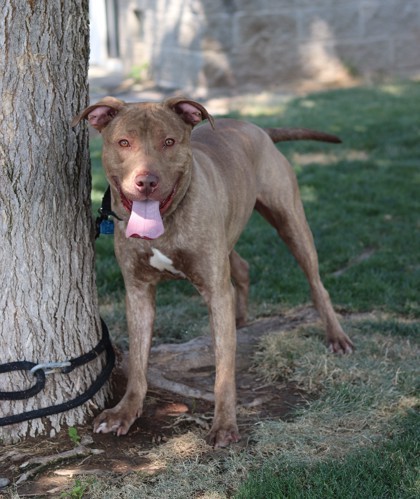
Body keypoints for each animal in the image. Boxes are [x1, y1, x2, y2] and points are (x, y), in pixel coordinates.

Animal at [73, 97, 354, 450]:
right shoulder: (138, 292)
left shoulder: (215, 292)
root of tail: (256, 127)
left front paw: (223, 424)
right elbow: (138, 362)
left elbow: (224, 369)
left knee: (316, 283)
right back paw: (241, 317)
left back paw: (336, 337)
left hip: (290, 221)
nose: (146, 181)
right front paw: (125, 412)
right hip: (229, 238)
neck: (165, 222)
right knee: (242, 269)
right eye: (124, 142)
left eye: (169, 142)